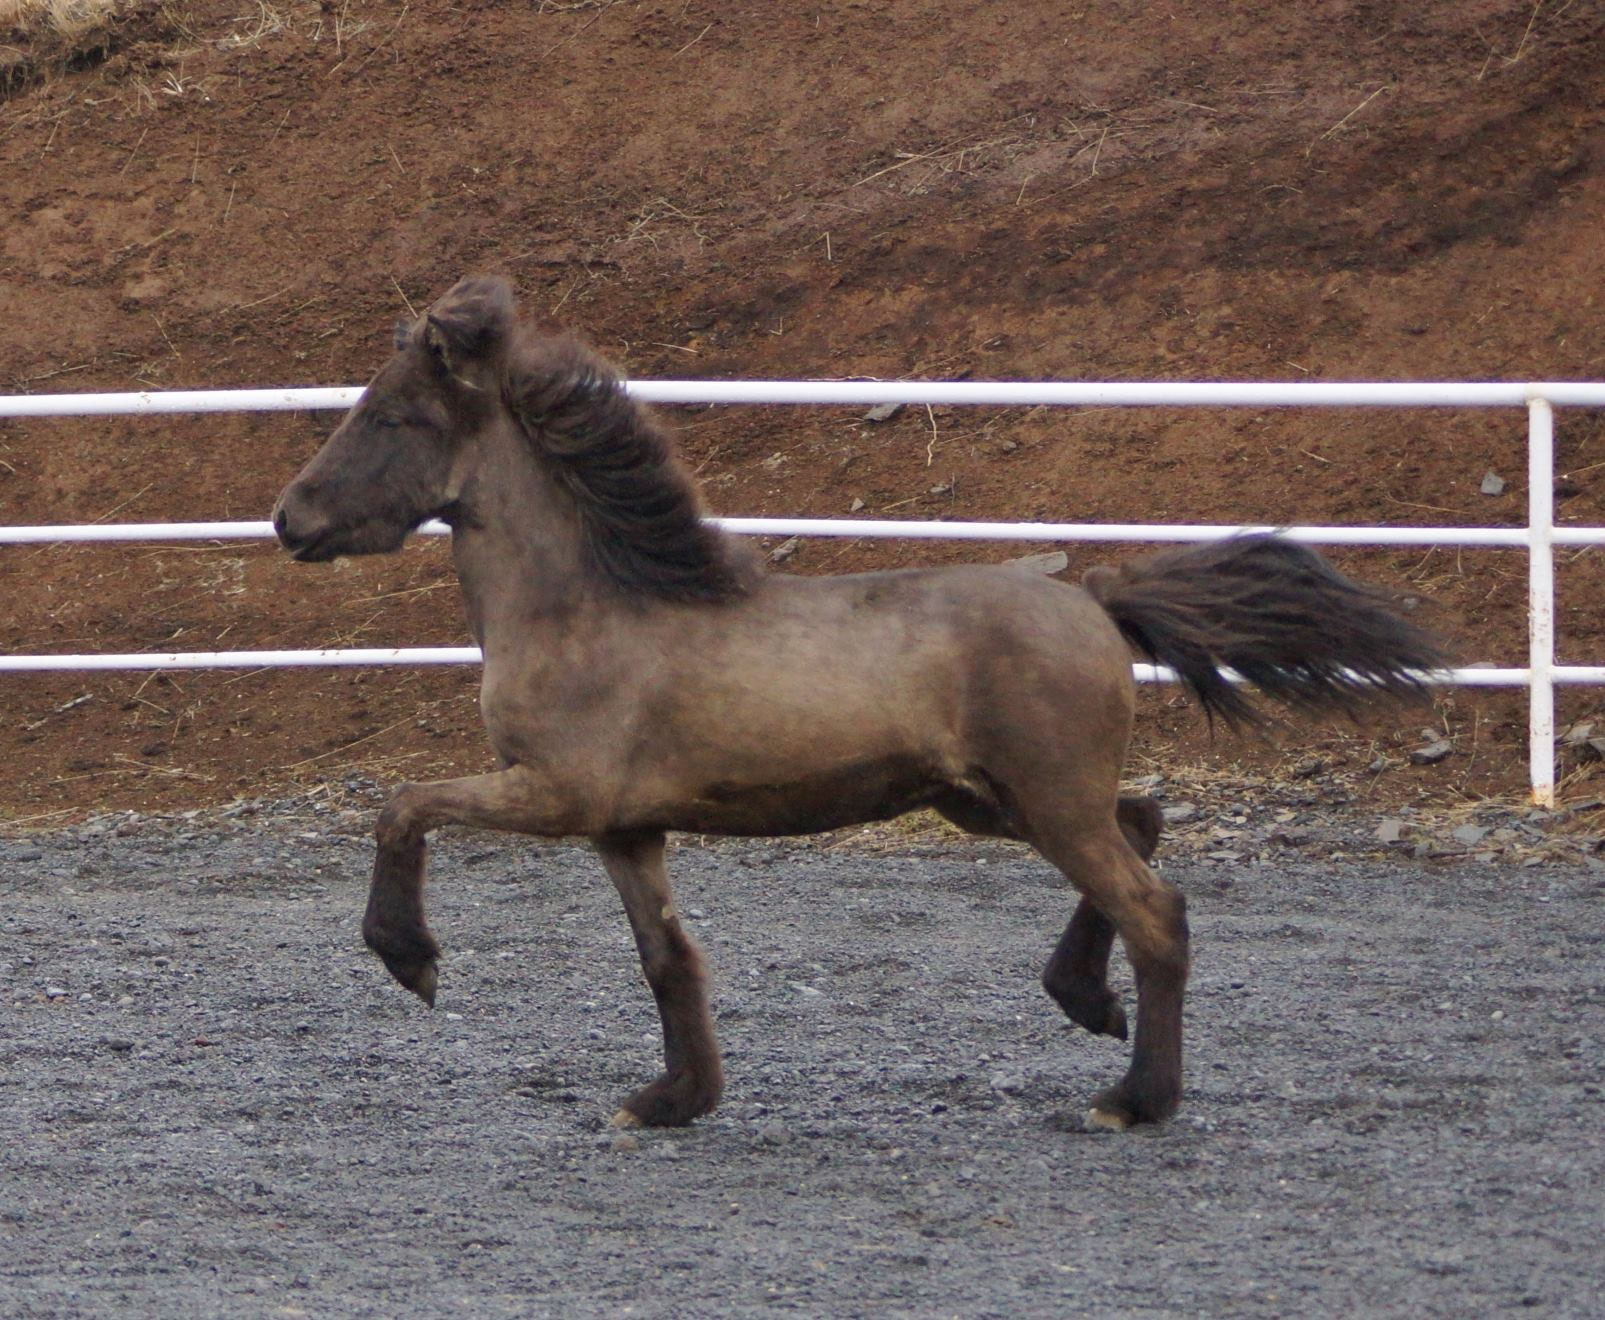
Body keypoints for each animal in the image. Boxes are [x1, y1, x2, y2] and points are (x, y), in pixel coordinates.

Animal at [272, 275, 1449, 1132]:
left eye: (394, 415)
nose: (289, 518)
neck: (588, 609)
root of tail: (1096, 602)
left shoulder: (557, 793)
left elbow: (401, 807)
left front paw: (411, 960)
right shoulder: (625, 827)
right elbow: (667, 961)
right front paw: (670, 1101)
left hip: (1043, 800)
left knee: (1155, 910)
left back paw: (1131, 1098)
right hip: (996, 799)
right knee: (1146, 823)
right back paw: (1086, 1001)